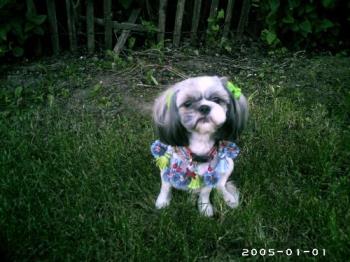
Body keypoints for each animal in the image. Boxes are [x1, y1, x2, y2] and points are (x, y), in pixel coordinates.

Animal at [151, 74, 249, 216]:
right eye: (187, 103)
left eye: (216, 99)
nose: (204, 107)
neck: (200, 141)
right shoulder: (166, 166)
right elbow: (165, 187)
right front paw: (162, 201)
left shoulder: (211, 175)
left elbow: (205, 193)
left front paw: (204, 208)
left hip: (229, 164)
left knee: (220, 185)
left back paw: (229, 199)